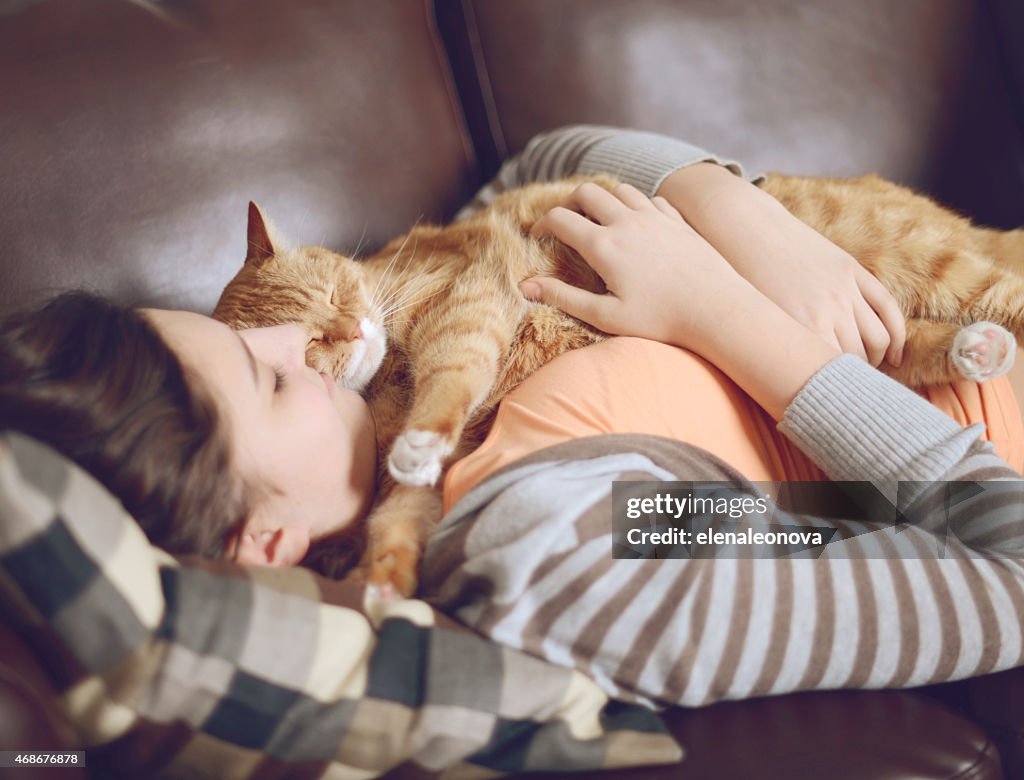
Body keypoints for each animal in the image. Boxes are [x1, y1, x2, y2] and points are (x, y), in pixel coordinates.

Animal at [214, 171, 1024, 593]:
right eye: (306, 351)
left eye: (333, 295)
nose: (353, 332)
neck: (384, 379)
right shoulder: (437, 469)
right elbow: (398, 518)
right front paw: (383, 589)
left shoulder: (471, 300)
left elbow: (451, 376)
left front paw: (417, 437)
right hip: (875, 332)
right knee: (894, 353)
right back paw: (975, 351)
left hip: (934, 266)